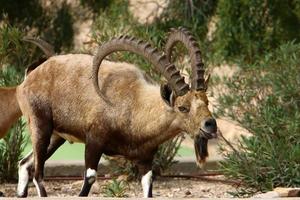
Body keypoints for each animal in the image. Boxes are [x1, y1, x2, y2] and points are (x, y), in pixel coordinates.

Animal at [1, 27, 218, 197]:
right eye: (183, 107)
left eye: (207, 102)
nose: (211, 125)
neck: (135, 105)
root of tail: (28, 78)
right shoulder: (94, 141)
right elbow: (89, 178)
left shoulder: (146, 159)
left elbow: (148, 184)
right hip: (40, 125)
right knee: (38, 174)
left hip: (56, 137)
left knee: (24, 164)